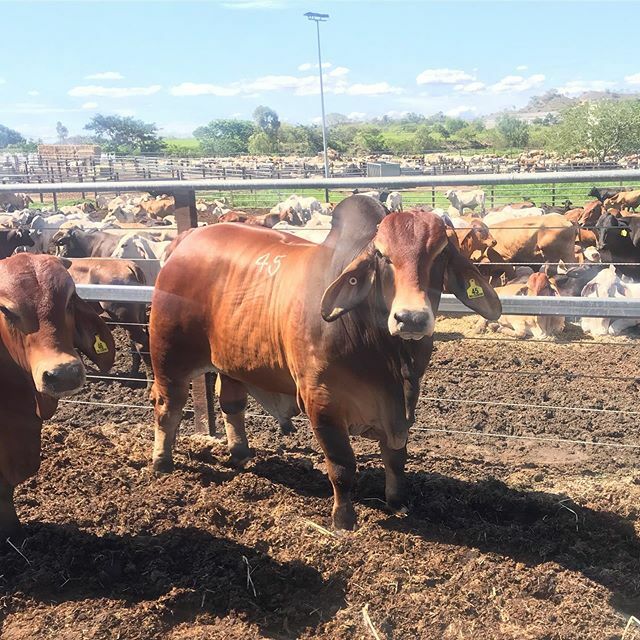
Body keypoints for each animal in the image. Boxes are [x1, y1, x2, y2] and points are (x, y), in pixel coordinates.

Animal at [149, 196, 501, 530]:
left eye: (440, 253)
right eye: (382, 255)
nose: (411, 318)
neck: (382, 349)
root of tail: (187, 238)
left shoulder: (402, 406)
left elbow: (396, 458)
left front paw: (397, 502)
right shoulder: (322, 402)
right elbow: (342, 465)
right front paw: (343, 521)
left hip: (233, 359)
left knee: (231, 404)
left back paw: (240, 454)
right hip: (169, 356)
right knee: (168, 406)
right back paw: (162, 463)